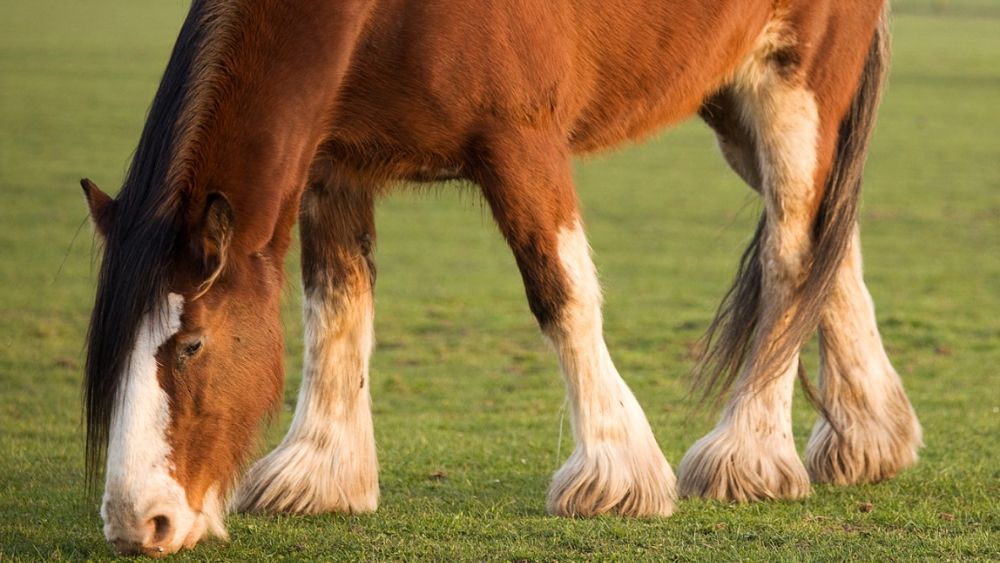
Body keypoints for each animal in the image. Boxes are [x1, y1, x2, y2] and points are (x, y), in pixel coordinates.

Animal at [82, 0, 916, 556]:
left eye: (191, 345)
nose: (137, 522)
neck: (373, 16)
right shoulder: (334, 168)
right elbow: (336, 308)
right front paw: (322, 475)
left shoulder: (522, 143)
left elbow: (563, 294)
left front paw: (615, 475)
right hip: (731, 94)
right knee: (829, 244)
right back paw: (869, 437)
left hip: (796, 85)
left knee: (791, 257)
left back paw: (751, 454)